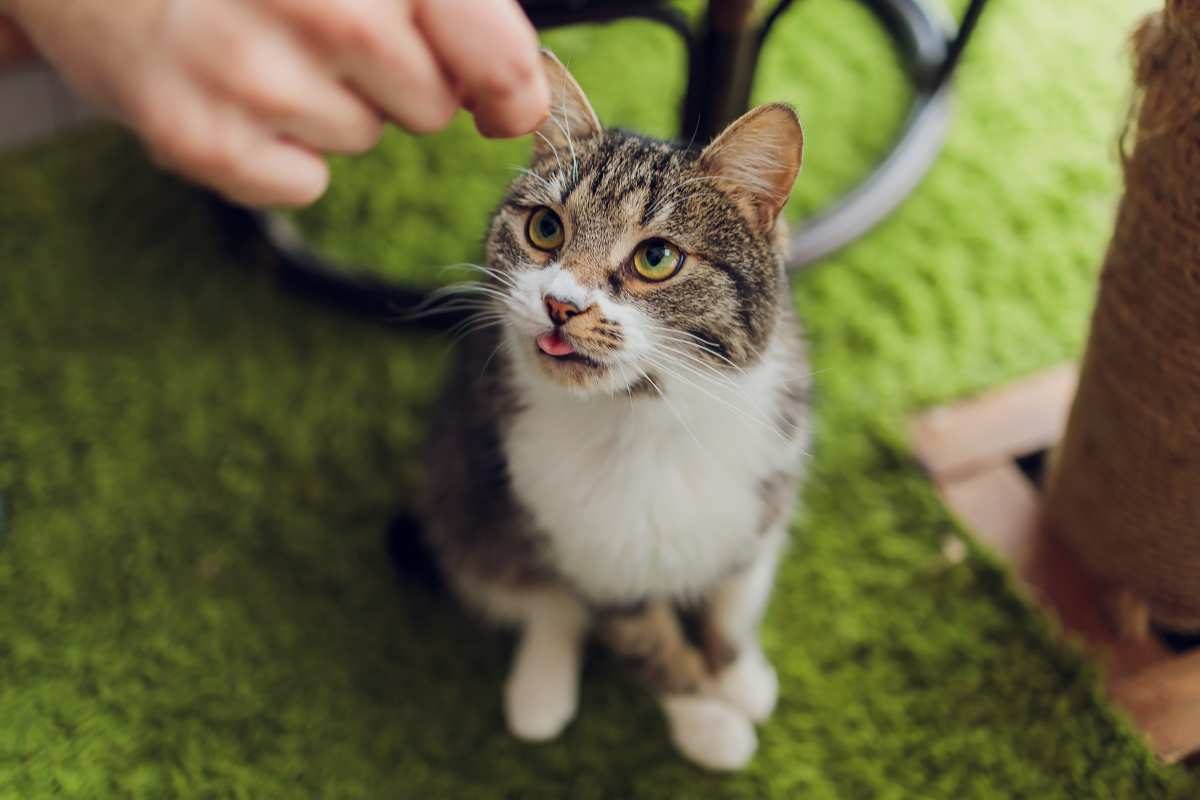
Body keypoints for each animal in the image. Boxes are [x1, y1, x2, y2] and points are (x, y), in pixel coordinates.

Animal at [417, 48, 811, 767]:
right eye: (545, 228)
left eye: (656, 257)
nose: (561, 304)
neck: (651, 417)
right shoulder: (590, 555)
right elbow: (648, 645)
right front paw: (708, 724)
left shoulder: (763, 494)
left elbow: (733, 601)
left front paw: (739, 675)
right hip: (463, 497)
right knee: (534, 597)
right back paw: (540, 693)